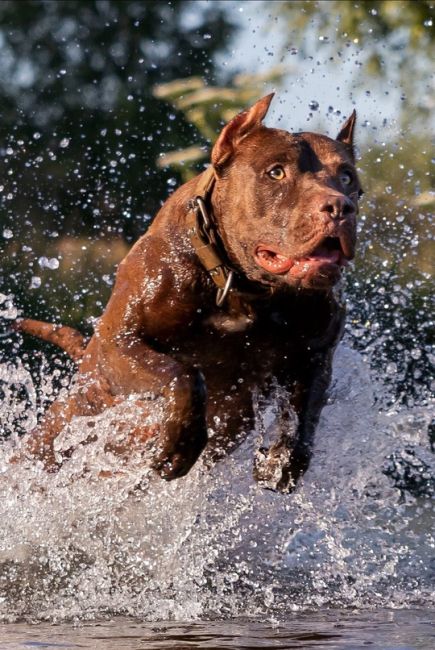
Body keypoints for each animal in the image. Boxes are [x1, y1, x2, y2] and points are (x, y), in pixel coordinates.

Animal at [12, 95, 362, 492]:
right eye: (276, 172)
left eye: (347, 177)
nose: (340, 206)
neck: (241, 289)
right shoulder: (120, 343)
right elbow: (183, 375)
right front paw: (180, 445)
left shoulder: (315, 354)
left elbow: (304, 416)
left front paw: (280, 461)